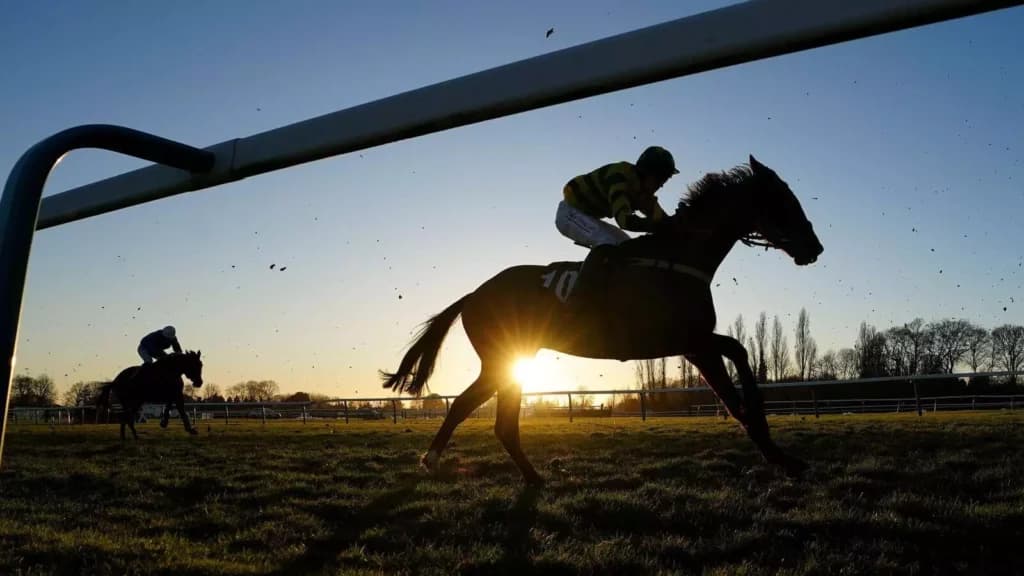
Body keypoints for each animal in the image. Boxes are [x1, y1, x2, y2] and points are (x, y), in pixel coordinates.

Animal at [381, 155, 823, 484]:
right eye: (783, 200)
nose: (814, 247)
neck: (679, 258)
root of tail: (473, 294)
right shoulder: (691, 342)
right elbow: (733, 393)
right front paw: (781, 458)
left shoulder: (695, 340)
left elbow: (740, 354)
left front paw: (777, 445)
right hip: (501, 359)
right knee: (468, 408)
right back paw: (435, 460)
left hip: (514, 359)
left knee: (497, 420)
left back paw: (531, 476)